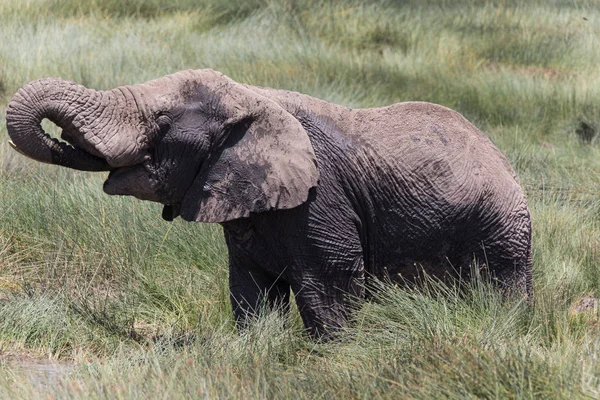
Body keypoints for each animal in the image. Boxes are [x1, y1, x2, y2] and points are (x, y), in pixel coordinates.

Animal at [3, 69, 528, 338]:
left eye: (163, 121)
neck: (252, 96)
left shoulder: (322, 199)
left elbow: (330, 286)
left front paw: (332, 360)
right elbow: (251, 289)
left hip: (501, 227)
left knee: (503, 287)